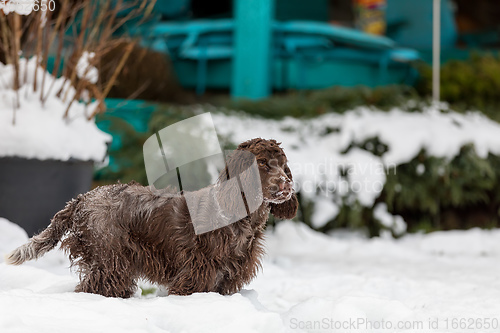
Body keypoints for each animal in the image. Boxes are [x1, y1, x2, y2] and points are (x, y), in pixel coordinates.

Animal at [6, 137, 296, 296]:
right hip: (109, 263)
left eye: (283, 165)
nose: (287, 185)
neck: (242, 220)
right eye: (262, 163)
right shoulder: (193, 278)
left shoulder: (226, 281)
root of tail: (82, 198)